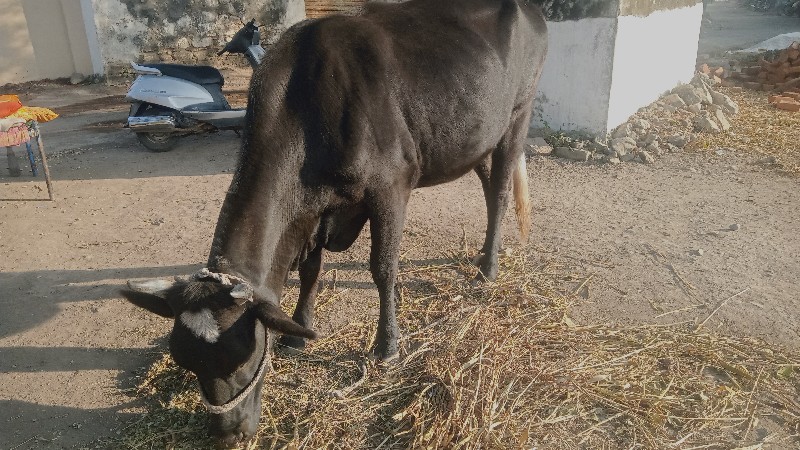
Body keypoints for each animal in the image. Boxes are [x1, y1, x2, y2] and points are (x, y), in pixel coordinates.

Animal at [122, 1, 548, 446]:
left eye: (243, 356)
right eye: (187, 363)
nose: (229, 435)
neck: (305, 108)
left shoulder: (391, 185)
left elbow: (382, 268)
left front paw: (387, 346)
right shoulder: (314, 212)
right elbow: (310, 269)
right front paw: (299, 330)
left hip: (517, 116)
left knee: (500, 193)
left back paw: (488, 269)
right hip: (476, 138)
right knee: (488, 187)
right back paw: (482, 254)